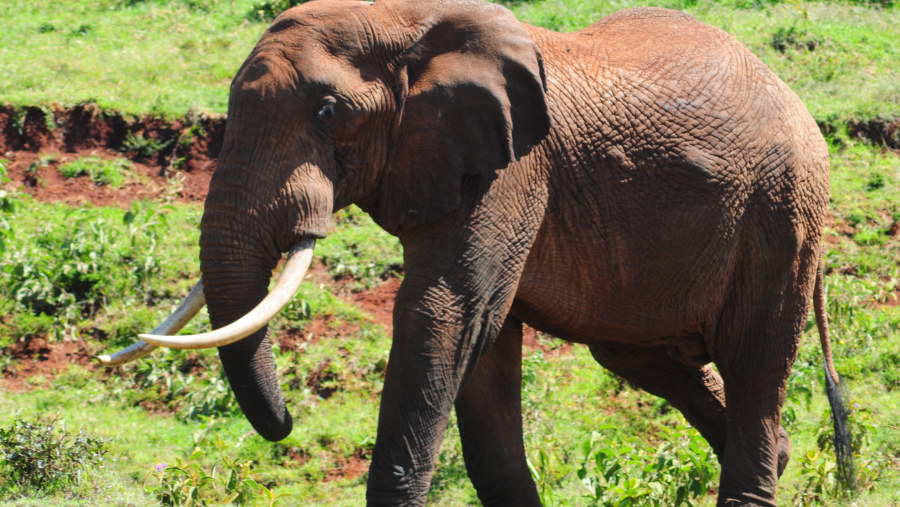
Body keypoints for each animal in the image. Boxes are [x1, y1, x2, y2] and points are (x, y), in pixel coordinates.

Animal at [102, 1, 856, 506]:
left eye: (326, 113)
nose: (285, 424)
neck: (406, 21)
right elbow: (481, 344)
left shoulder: (513, 169)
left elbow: (444, 313)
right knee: (644, 357)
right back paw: (781, 455)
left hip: (782, 212)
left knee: (756, 359)